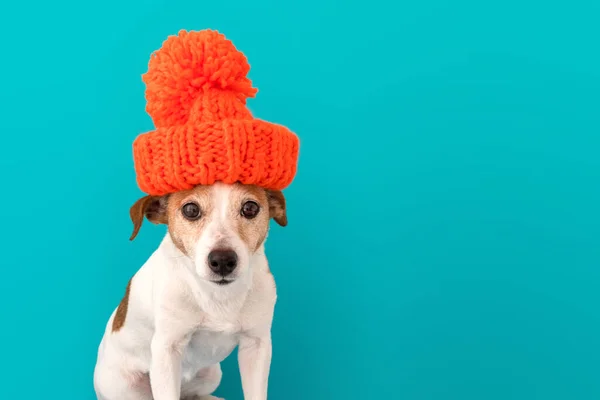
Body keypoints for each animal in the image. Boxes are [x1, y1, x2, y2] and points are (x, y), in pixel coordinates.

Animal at [94, 182, 288, 400]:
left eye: (250, 208)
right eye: (191, 210)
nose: (222, 260)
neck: (218, 295)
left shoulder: (256, 346)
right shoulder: (167, 350)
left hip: (211, 374)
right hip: (125, 386)